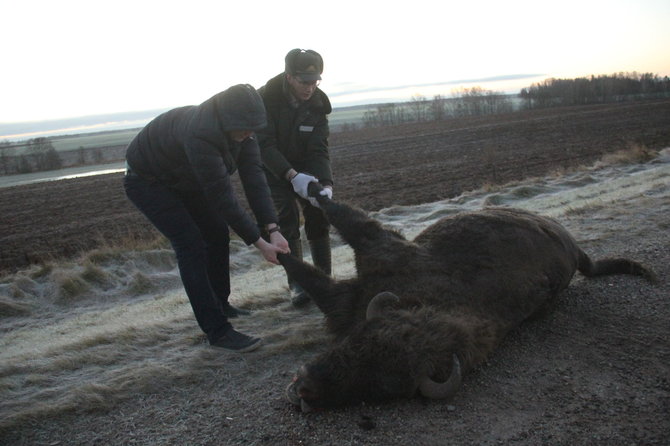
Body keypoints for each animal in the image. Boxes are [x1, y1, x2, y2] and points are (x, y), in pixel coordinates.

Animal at [278, 184, 656, 412]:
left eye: (380, 387)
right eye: (359, 340)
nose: (305, 387)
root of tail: (578, 251)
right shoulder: (379, 256)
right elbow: (321, 242)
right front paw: (302, 197)